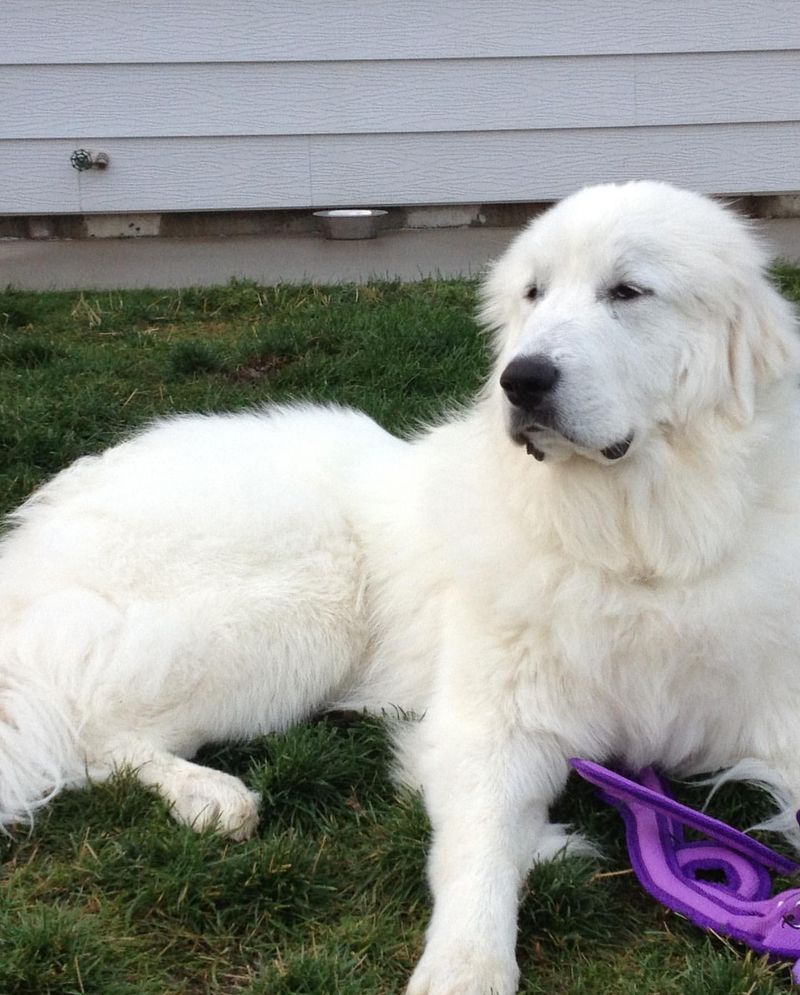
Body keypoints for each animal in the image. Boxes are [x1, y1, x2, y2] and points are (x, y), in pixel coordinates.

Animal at [1, 181, 800, 995]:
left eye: (628, 291)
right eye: (533, 294)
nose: (521, 379)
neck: (636, 546)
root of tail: (47, 521)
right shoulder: (490, 724)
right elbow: (478, 851)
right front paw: (467, 967)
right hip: (300, 615)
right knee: (97, 735)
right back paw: (209, 796)